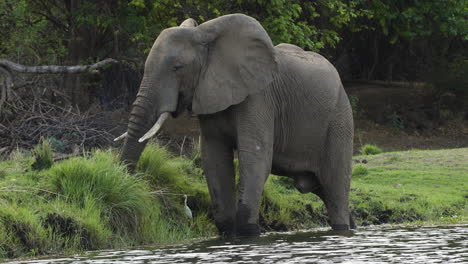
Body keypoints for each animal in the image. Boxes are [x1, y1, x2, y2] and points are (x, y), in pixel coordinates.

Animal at [116, 13, 354, 237]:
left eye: (177, 67)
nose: (128, 183)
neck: (204, 34)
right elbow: (214, 159)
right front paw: (228, 233)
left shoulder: (259, 98)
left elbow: (256, 158)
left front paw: (248, 232)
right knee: (326, 191)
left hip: (339, 120)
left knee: (334, 189)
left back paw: (343, 228)